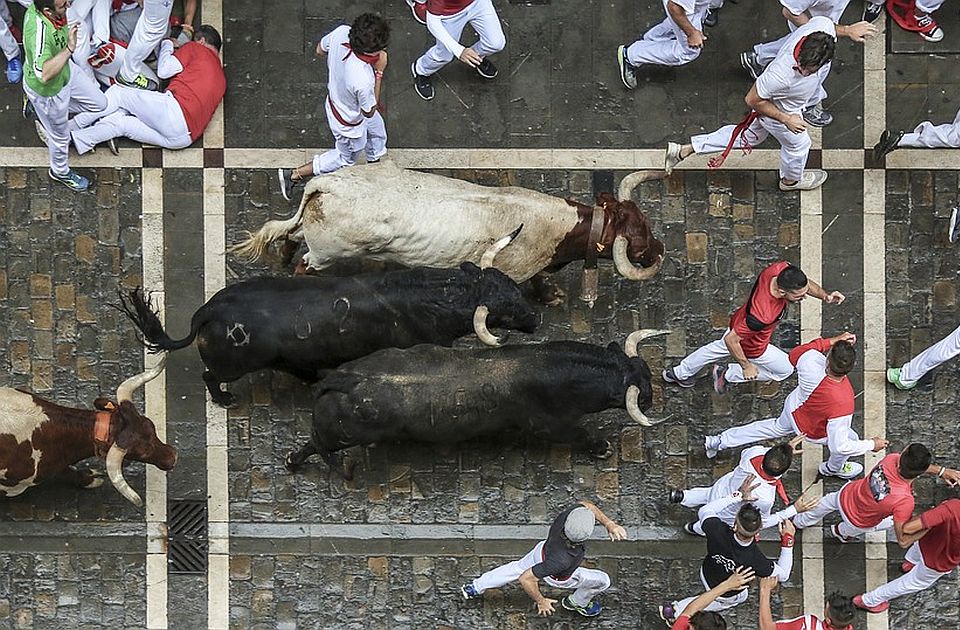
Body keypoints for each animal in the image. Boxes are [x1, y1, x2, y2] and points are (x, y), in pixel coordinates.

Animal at [0, 356, 176, 508]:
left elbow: (67, 471)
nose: (173, 457)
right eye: (142, 453)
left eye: (151, 426)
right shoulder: (12, 486)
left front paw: (89, 476)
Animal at [120, 262, 540, 408]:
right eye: (504, 310)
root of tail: (209, 311)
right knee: (210, 376)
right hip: (231, 366)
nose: (536, 318)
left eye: (513, 287)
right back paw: (225, 400)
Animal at [232, 164, 664, 304]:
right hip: (326, 253)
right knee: (305, 265)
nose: (660, 248)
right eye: (640, 238)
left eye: (645, 221)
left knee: (292, 237)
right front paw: (550, 296)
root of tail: (326, 185)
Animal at [286, 340, 660, 478]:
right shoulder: (548, 424)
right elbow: (581, 434)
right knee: (316, 444)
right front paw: (601, 447)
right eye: (640, 391)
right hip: (342, 434)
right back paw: (302, 463)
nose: (652, 397)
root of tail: (344, 378)